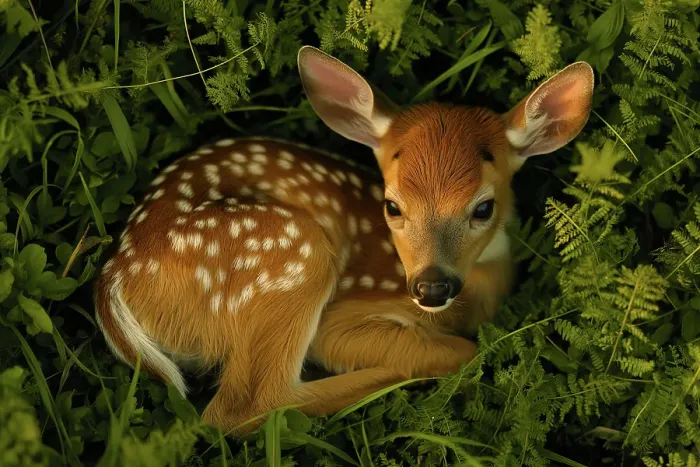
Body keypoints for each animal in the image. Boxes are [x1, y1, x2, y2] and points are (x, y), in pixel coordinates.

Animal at [93, 45, 594, 434]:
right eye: (392, 206)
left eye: (483, 208)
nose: (431, 287)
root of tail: (115, 281)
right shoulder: (348, 314)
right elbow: (461, 349)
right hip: (292, 256)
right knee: (242, 408)